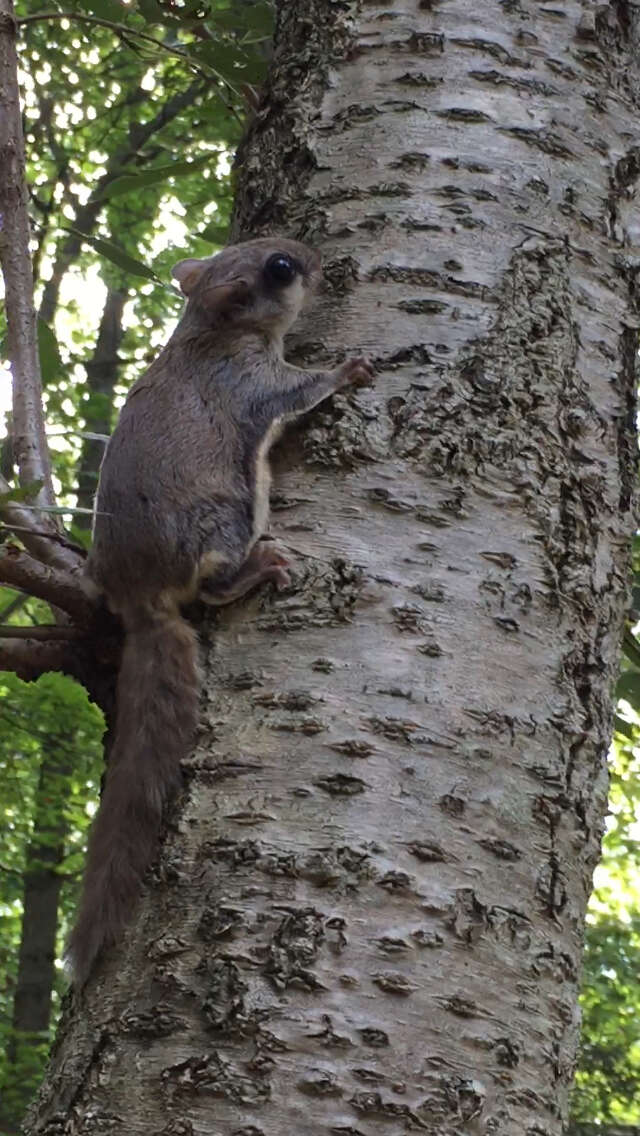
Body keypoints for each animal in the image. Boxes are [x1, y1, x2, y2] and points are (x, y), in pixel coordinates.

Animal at [67, 235, 372, 981]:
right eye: (281, 270)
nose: (314, 256)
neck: (210, 329)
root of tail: (138, 595)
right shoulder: (254, 386)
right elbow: (302, 391)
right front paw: (347, 369)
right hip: (227, 514)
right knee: (212, 583)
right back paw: (254, 569)